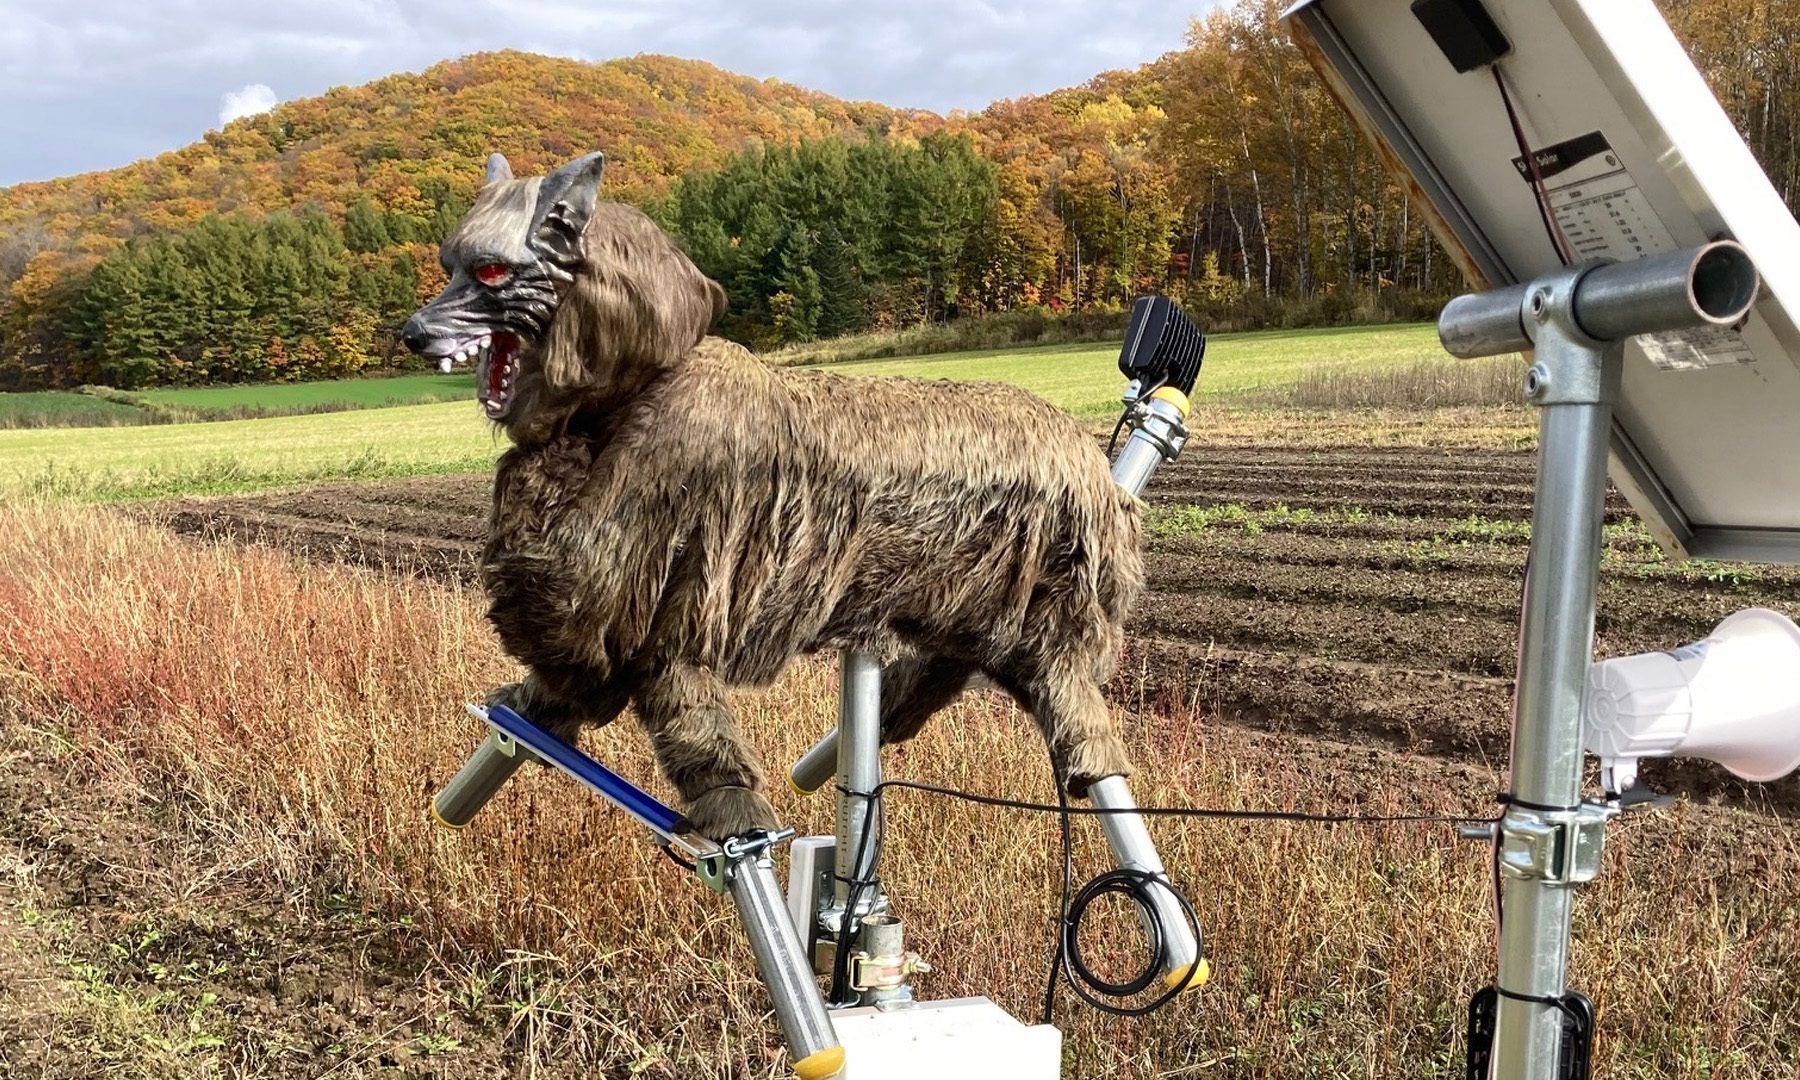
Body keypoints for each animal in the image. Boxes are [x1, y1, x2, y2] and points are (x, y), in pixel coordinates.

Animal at [401, 151, 1146, 841]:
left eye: (490, 272)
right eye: (446, 264)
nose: (411, 331)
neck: (633, 387)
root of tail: (1091, 462)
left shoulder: (652, 577)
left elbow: (626, 661)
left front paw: (729, 804)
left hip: (1051, 619)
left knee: (1074, 710)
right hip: (971, 610)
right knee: (949, 674)